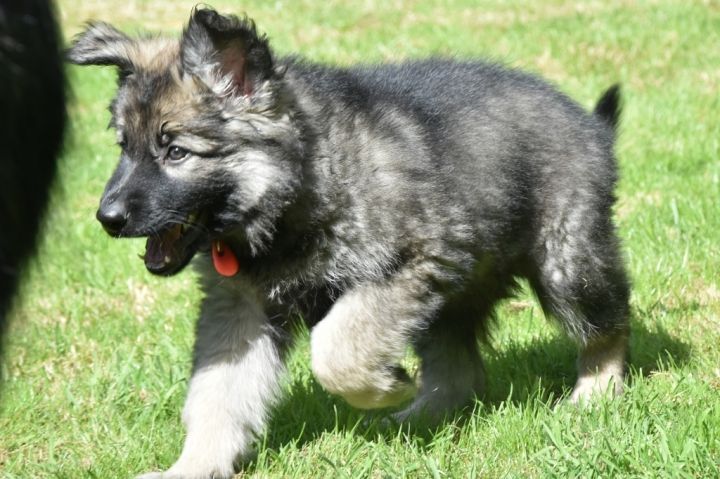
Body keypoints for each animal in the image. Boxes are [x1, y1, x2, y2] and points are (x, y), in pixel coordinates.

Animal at [68, 8, 630, 478]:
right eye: (124, 146)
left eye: (177, 152)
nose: (107, 217)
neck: (300, 188)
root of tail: (591, 124)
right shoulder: (240, 308)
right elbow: (217, 393)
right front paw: (193, 466)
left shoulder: (404, 267)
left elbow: (335, 349)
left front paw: (381, 386)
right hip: (454, 289)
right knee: (461, 370)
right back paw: (417, 415)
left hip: (567, 260)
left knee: (608, 324)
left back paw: (595, 393)